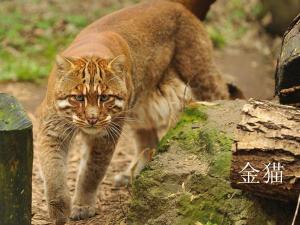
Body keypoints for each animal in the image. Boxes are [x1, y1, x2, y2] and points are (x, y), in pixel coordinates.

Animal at [36, 0, 229, 224]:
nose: (92, 119)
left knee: (223, 94)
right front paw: (59, 210)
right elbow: (53, 171)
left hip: (200, 76)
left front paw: (83, 205)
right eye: (79, 98)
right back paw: (133, 173)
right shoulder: (52, 129)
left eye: (105, 97)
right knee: (149, 140)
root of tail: (173, 3)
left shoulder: (106, 134)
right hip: (139, 107)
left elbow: (92, 170)